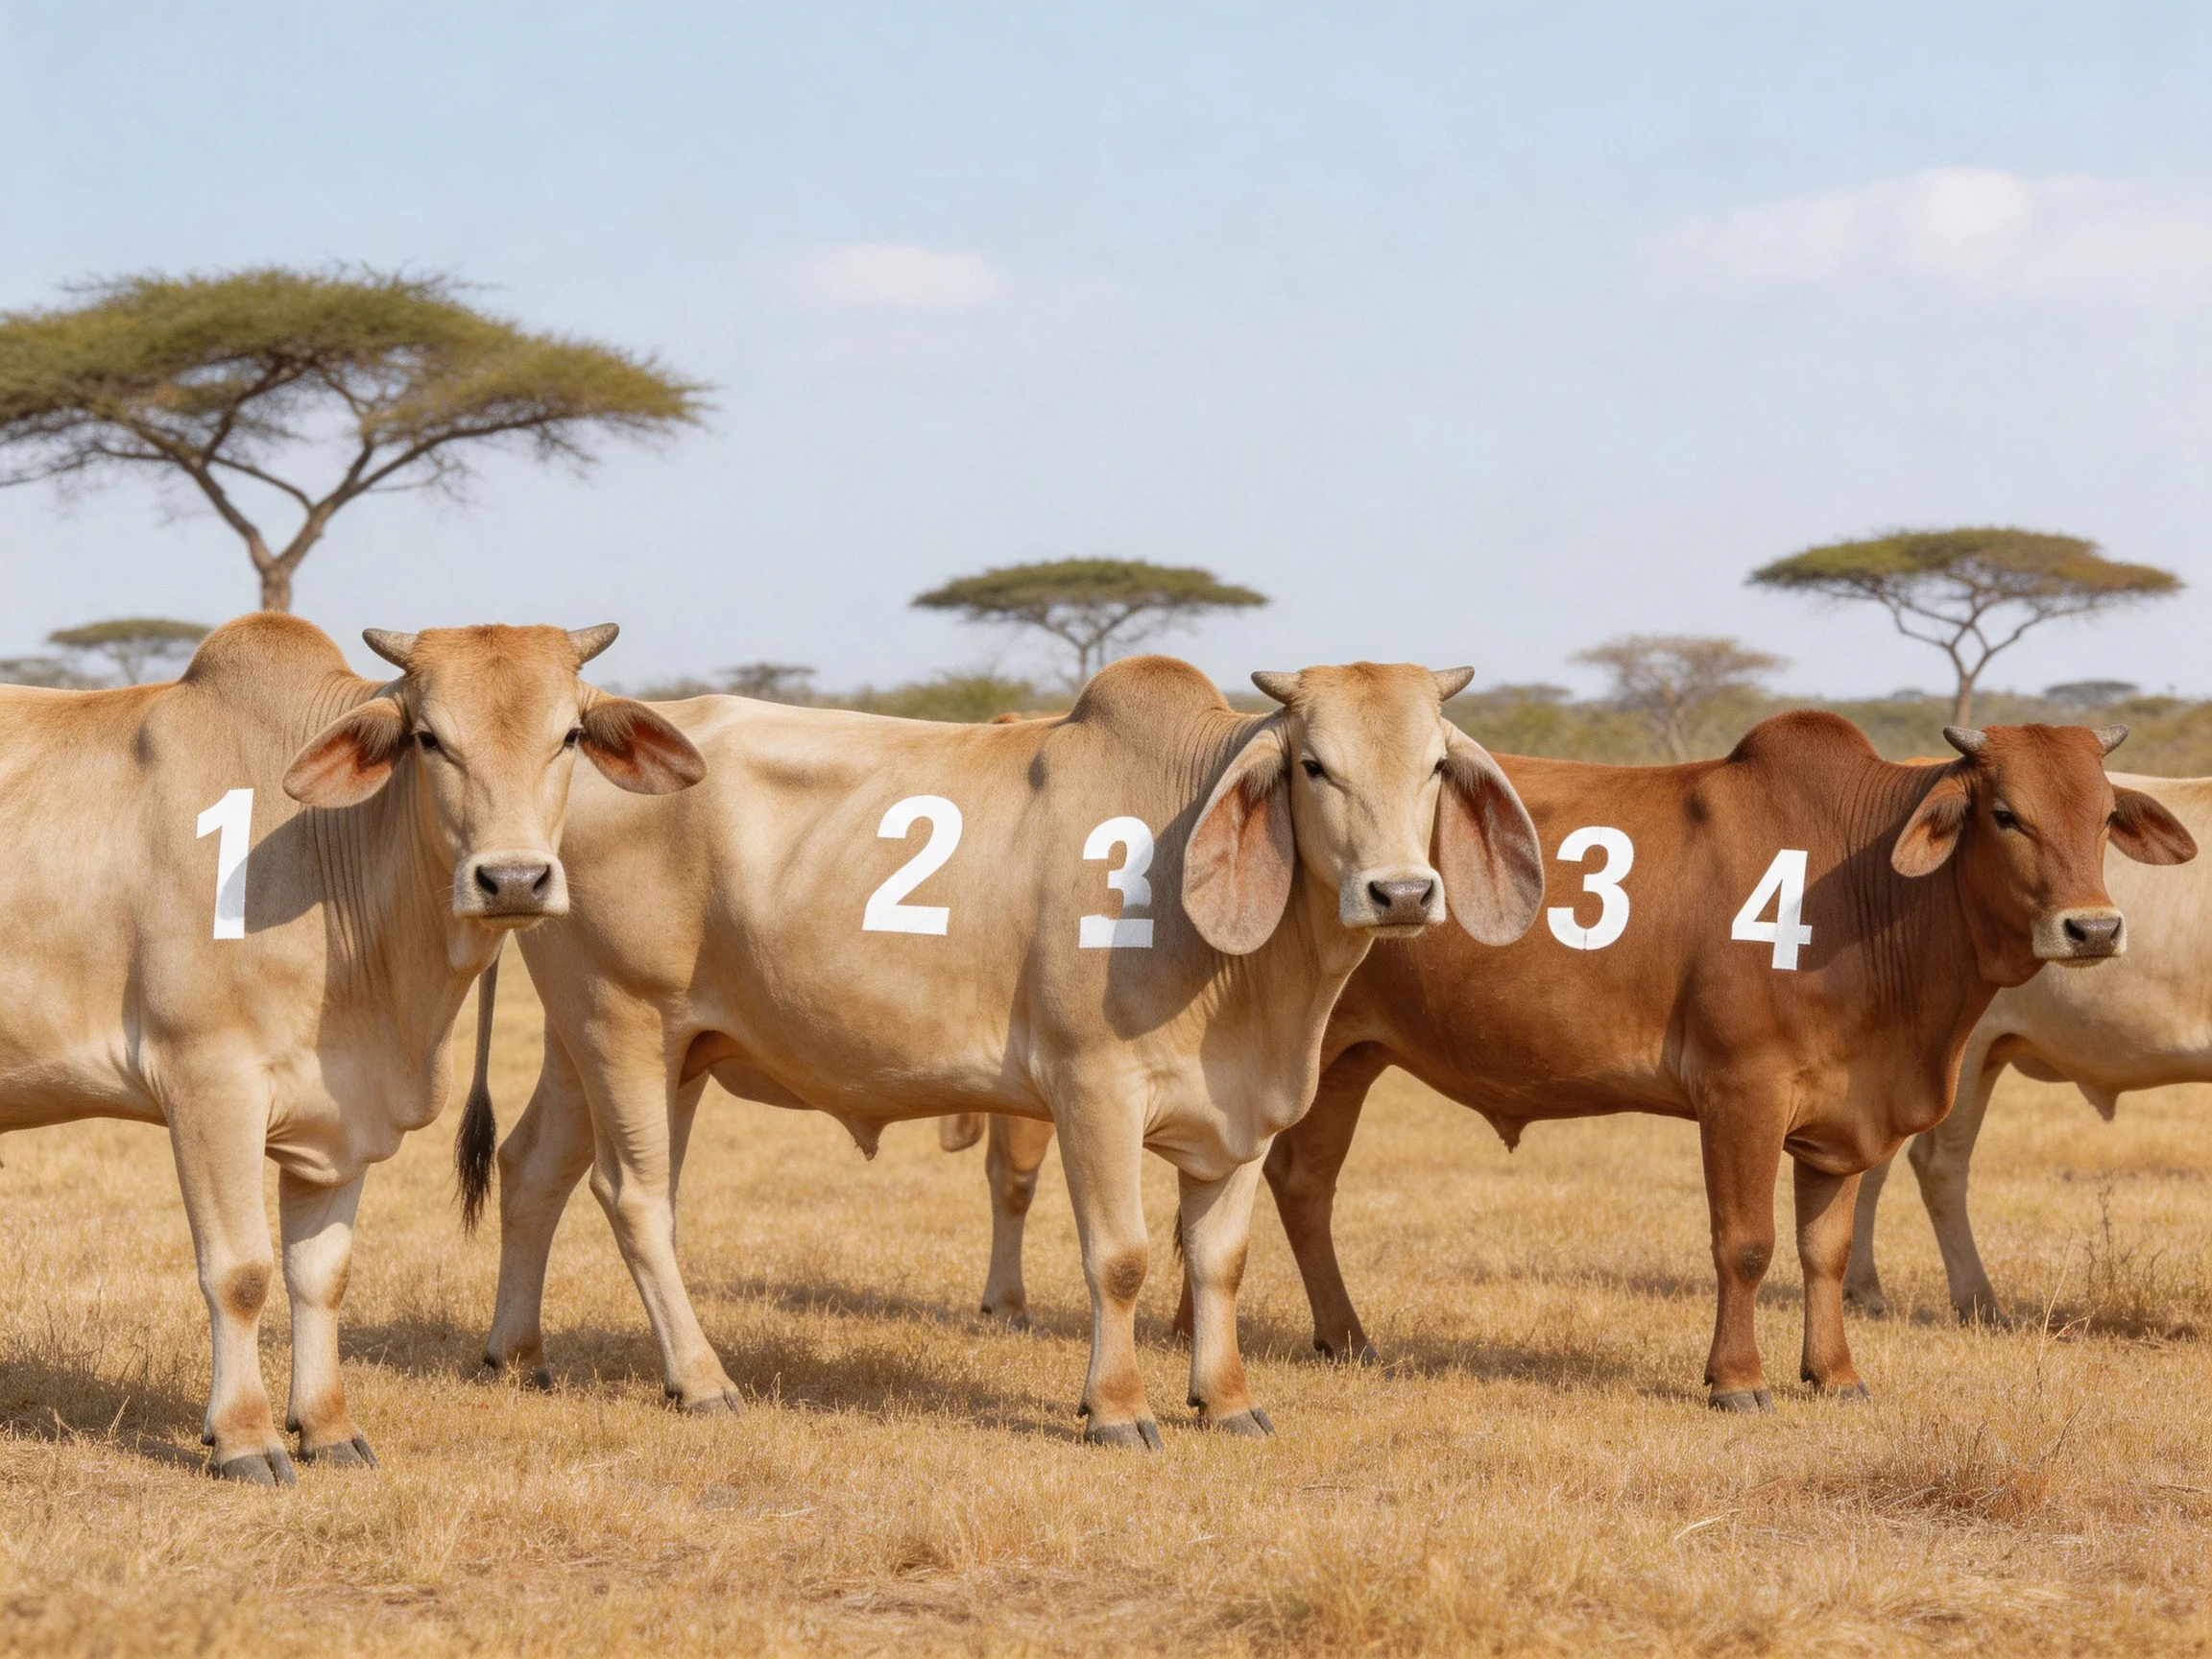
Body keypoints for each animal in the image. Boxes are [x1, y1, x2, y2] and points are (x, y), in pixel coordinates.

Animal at [0, 615, 703, 1484]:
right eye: (430, 738)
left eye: (568, 734)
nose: (512, 880)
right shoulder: (208, 1081)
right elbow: (240, 1273)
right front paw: (245, 1437)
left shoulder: (336, 1120)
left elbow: (320, 1276)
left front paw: (327, 1426)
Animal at [464, 657, 1546, 1446]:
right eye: (1316, 766)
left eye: (1434, 766)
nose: (1401, 893)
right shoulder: (1093, 1091)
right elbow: (1123, 1258)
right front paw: (1119, 1409)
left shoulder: (1241, 1118)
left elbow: (1221, 1261)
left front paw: (1229, 1399)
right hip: (626, 1026)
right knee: (635, 1198)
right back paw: (701, 1382)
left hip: (614, 1046)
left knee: (534, 1169)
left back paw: (516, 1354)